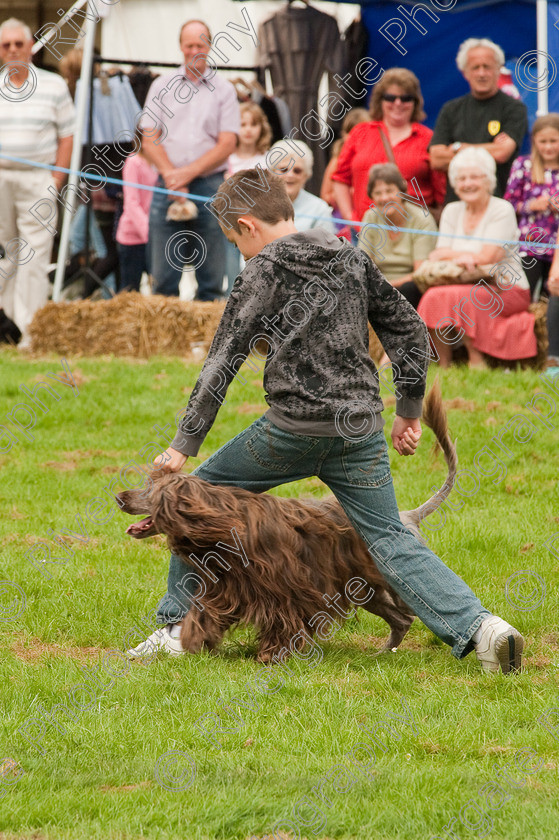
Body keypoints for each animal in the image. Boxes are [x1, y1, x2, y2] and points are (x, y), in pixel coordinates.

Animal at [118, 380, 456, 664]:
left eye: (151, 492)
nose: (120, 497)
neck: (225, 524)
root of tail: (408, 515)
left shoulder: (285, 587)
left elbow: (282, 620)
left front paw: (271, 655)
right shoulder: (231, 588)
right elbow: (206, 613)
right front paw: (190, 641)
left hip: (387, 582)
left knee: (411, 610)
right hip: (365, 588)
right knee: (402, 618)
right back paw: (383, 653)